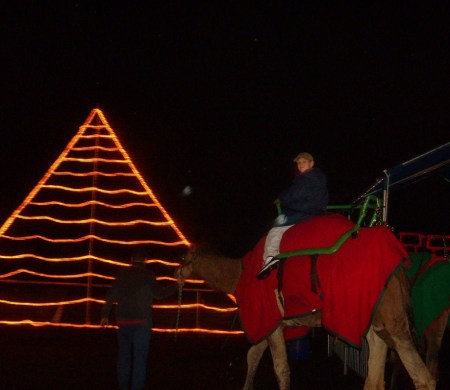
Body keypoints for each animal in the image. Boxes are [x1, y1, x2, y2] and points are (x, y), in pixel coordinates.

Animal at [177, 219, 436, 390]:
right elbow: (253, 355)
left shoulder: (268, 315)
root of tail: (400, 268)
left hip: (394, 323)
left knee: (423, 378)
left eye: (184, 257)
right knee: (375, 376)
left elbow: (280, 368)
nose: (176, 271)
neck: (240, 275)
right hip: (375, 320)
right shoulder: (270, 322)